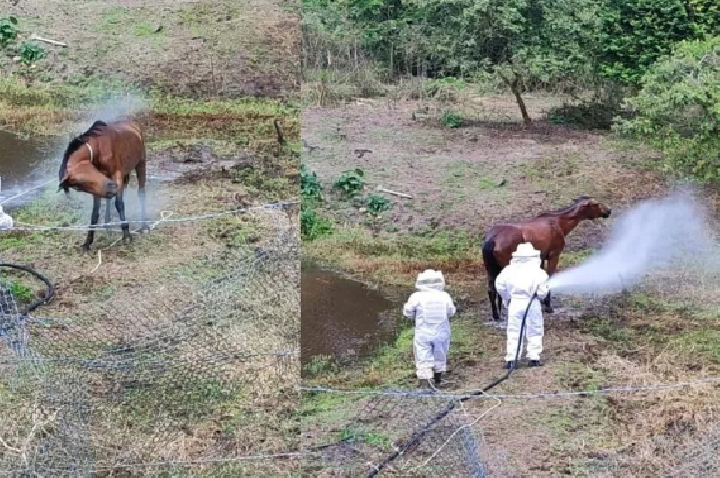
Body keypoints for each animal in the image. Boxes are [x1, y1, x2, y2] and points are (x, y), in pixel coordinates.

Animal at [58, 119, 149, 250]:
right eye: (79, 187)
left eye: (81, 181)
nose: (111, 187)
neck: (99, 146)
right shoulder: (99, 187)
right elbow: (95, 212)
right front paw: (88, 242)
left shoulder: (117, 174)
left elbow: (119, 204)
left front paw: (127, 235)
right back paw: (108, 224)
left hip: (140, 163)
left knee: (141, 193)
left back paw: (144, 226)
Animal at [480, 196, 612, 324]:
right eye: (595, 204)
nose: (608, 210)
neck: (560, 224)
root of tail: (492, 239)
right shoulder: (554, 255)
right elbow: (548, 279)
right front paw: (548, 306)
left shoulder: (542, 258)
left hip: (491, 269)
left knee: (492, 290)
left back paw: (496, 315)